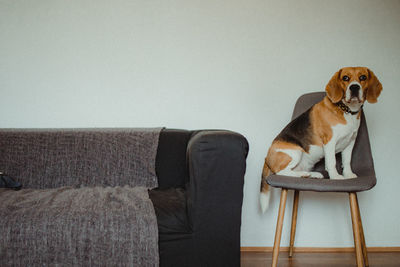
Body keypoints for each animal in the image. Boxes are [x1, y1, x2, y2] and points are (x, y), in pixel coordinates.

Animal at [260, 67, 382, 214]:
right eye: (345, 78)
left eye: (363, 77)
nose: (354, 87)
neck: (346, 110)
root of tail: (267, 157)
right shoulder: (329, 140)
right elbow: (332, 162)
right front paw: (336, 177)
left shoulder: (350, 142)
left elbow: (347, 161)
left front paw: (348, 174)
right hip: (295, 151)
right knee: (281, 172)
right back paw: (304, 175)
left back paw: (311, 175)